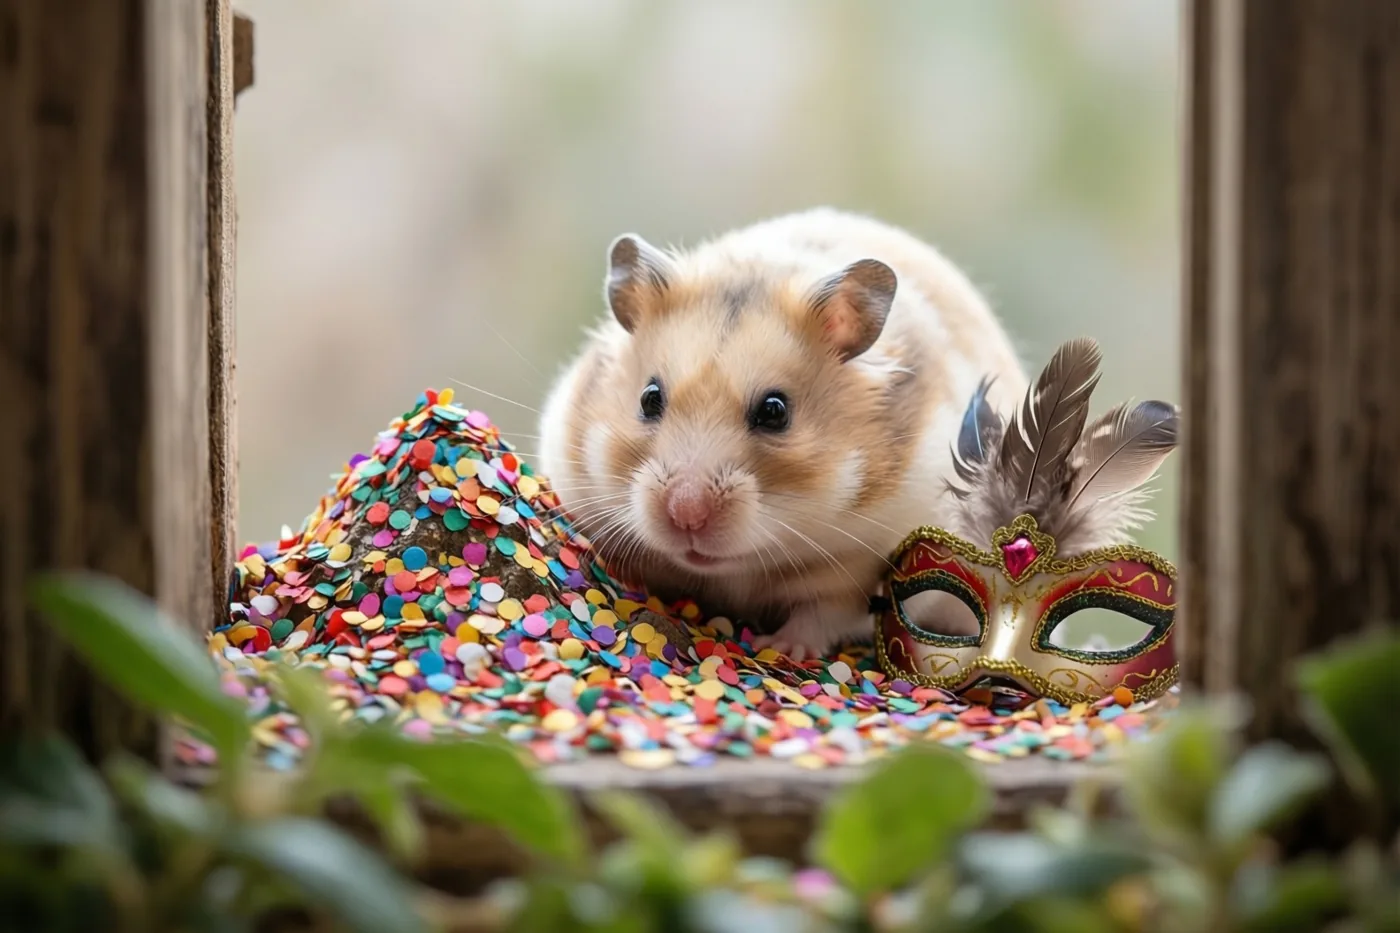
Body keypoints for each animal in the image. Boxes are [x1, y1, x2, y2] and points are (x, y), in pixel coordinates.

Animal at [538, 208, 1027, 660]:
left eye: (775, 412)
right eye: (649, 399)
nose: (686, 516)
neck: (736, 569)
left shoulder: (868, 567)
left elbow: (825, 611)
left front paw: (779, 647)